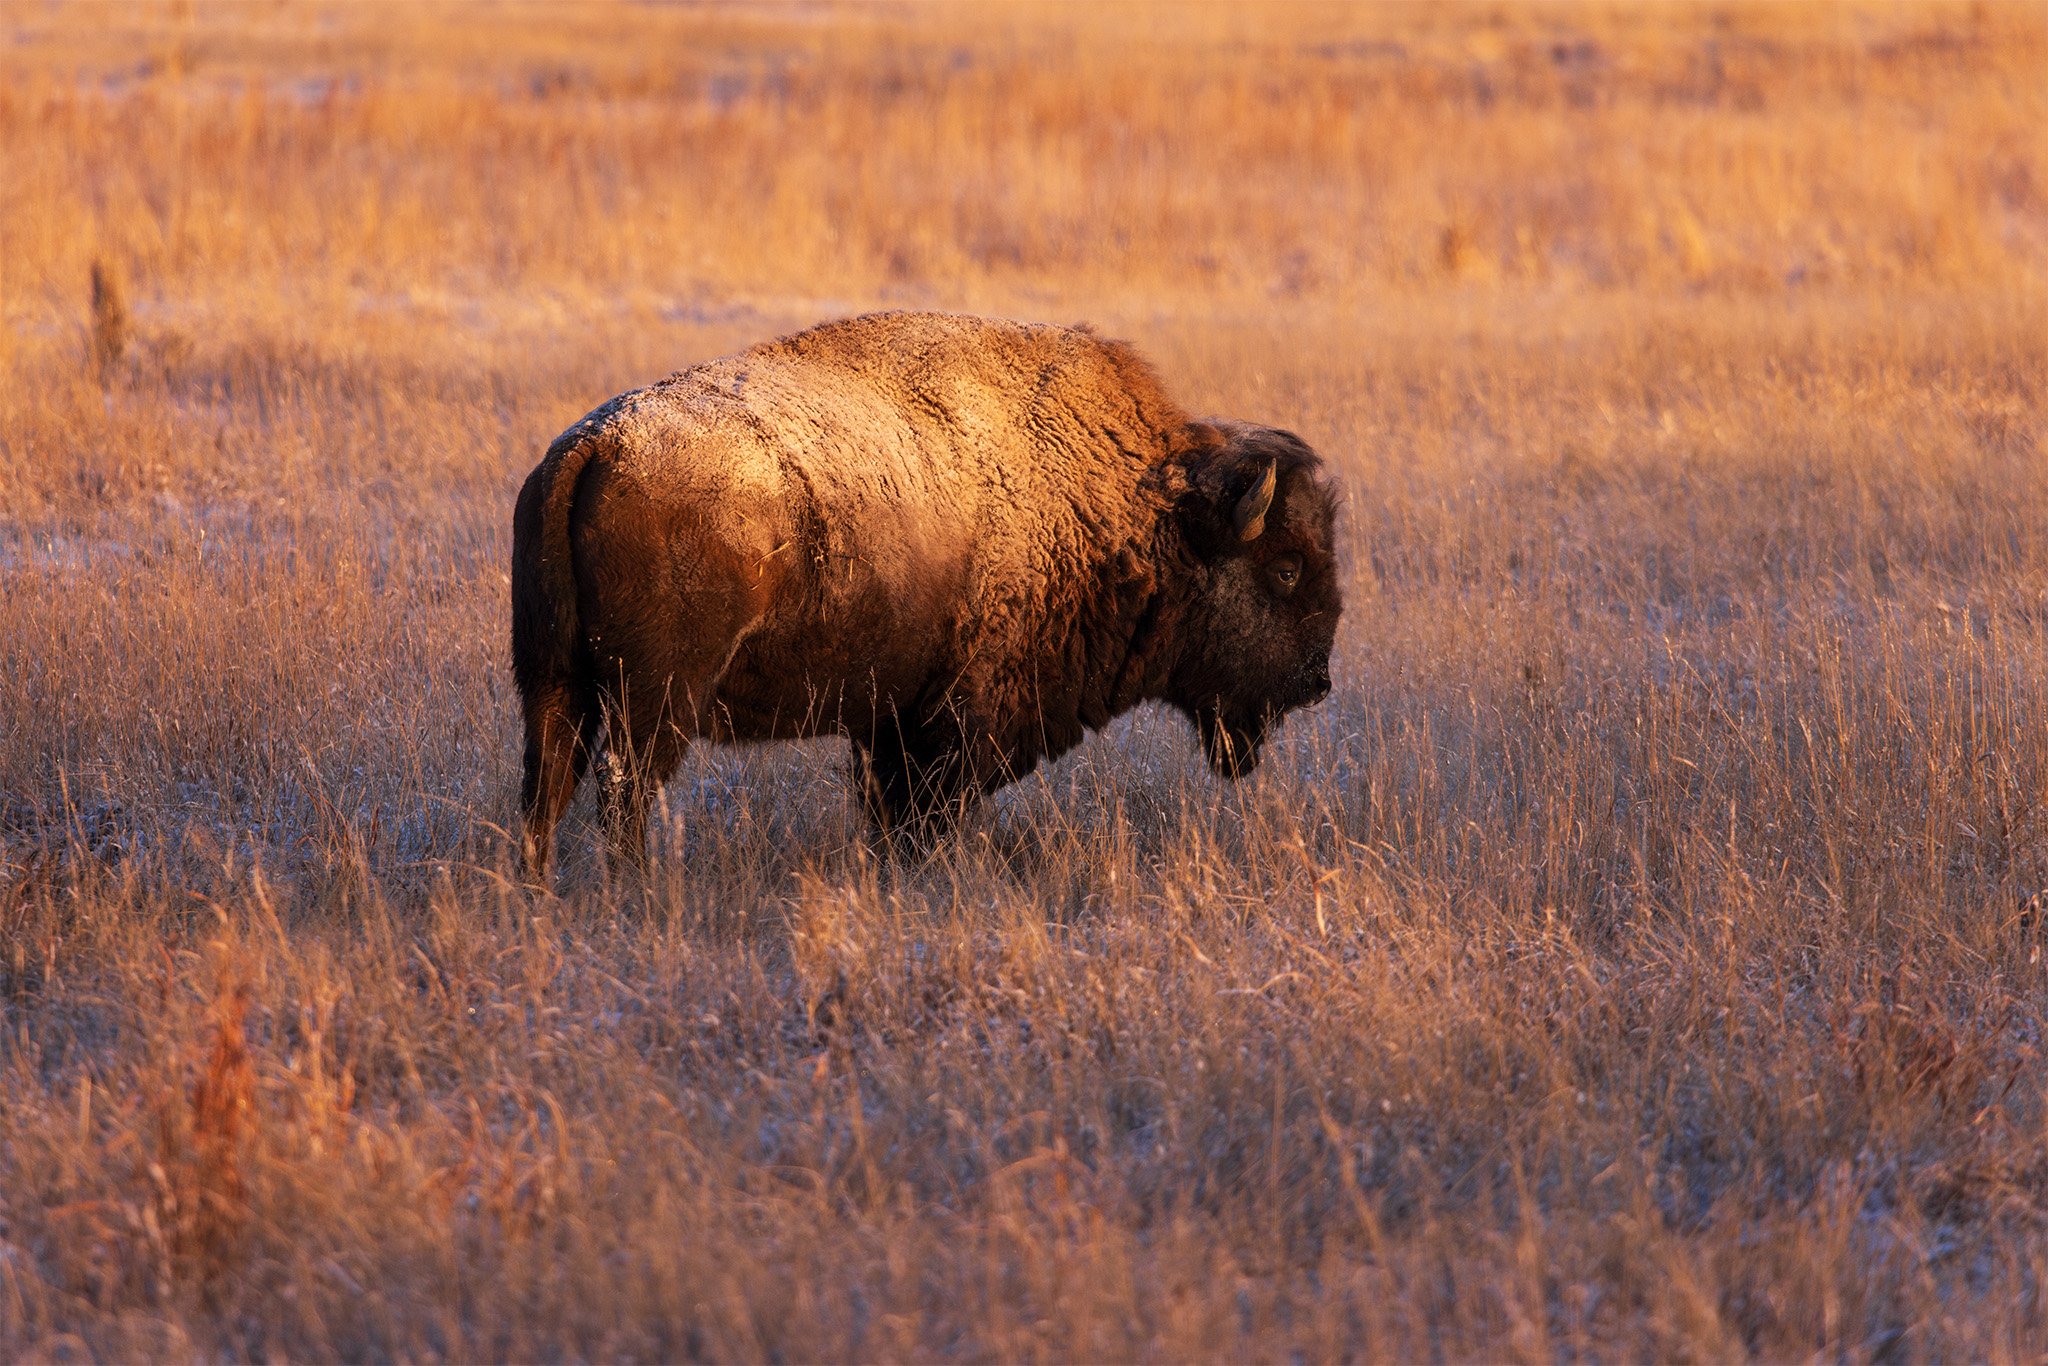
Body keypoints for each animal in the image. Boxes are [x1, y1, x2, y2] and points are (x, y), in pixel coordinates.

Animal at [512, 311, 1340, 880]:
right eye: (1287, 567)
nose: (1317, 682)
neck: (1142, 510)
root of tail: (594, 446)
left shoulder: (889, 719)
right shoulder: (954, 721)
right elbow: (923, 812)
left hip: (554, 683)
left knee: (547, 784)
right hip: (654, 702)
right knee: (622, 792)